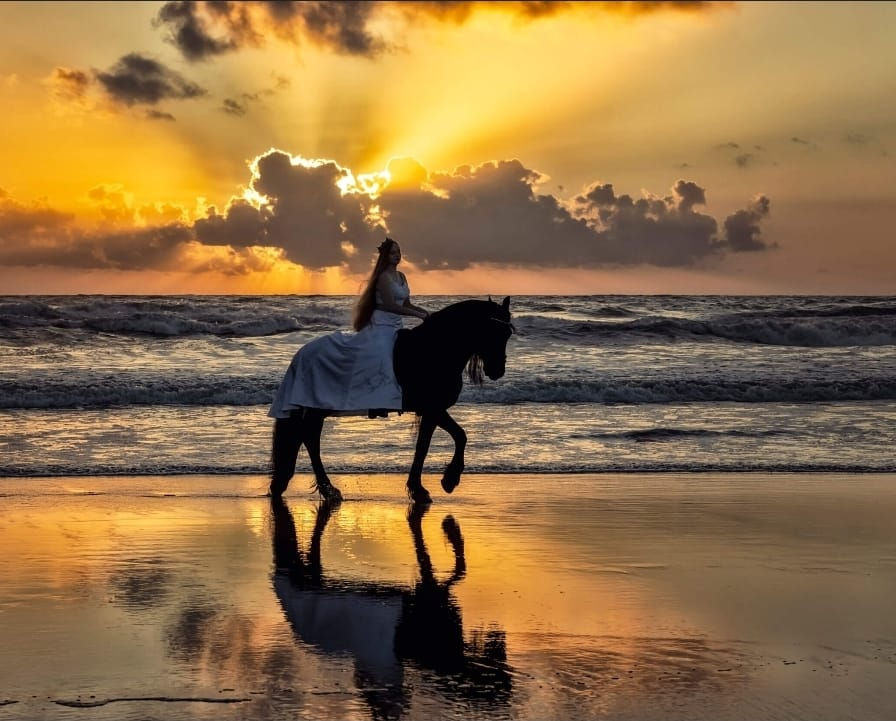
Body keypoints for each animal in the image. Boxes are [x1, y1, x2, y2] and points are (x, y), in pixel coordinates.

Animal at [269, 297, 514, 504]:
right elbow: (449, 439)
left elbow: (432, 444)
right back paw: (328, 489)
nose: (498, 370)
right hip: (317, 408)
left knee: (306, 438)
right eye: (494, 330)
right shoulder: (433, 408)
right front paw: (445, 481)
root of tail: (301, 354)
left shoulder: (431, 411)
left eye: (507, 334)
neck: (433, 350)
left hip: (316, 409)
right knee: (310, 440)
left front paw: (425, 486)